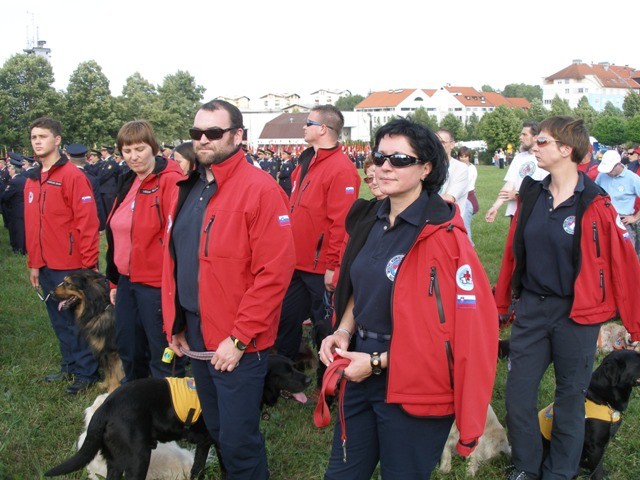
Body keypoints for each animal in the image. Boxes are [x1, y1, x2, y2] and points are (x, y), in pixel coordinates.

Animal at [44, 352, 310, 480]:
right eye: (286, 372)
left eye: (294, 367)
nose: (308, 380)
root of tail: (105, 408)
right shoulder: (218, 442)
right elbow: (220, 469)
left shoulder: (208, 443)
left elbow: (200, 470)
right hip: (138, 459)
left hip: (116, 462)